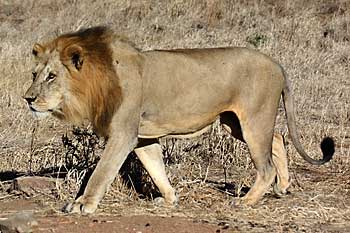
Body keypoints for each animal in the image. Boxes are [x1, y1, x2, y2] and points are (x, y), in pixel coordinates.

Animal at [23, 26, 334, 214]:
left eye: (52, 77)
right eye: (34, 74)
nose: (28, 98)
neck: (95, 84)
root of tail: (276, 63)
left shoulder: (122, 134)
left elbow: (102, 172)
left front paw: (81, 204)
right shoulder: (142, 137)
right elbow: (155, 168)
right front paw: (170, 199)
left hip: (254, 119)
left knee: (266, 164)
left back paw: (247, 200)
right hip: (234, 122)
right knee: (279, 138)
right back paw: (282, 187)